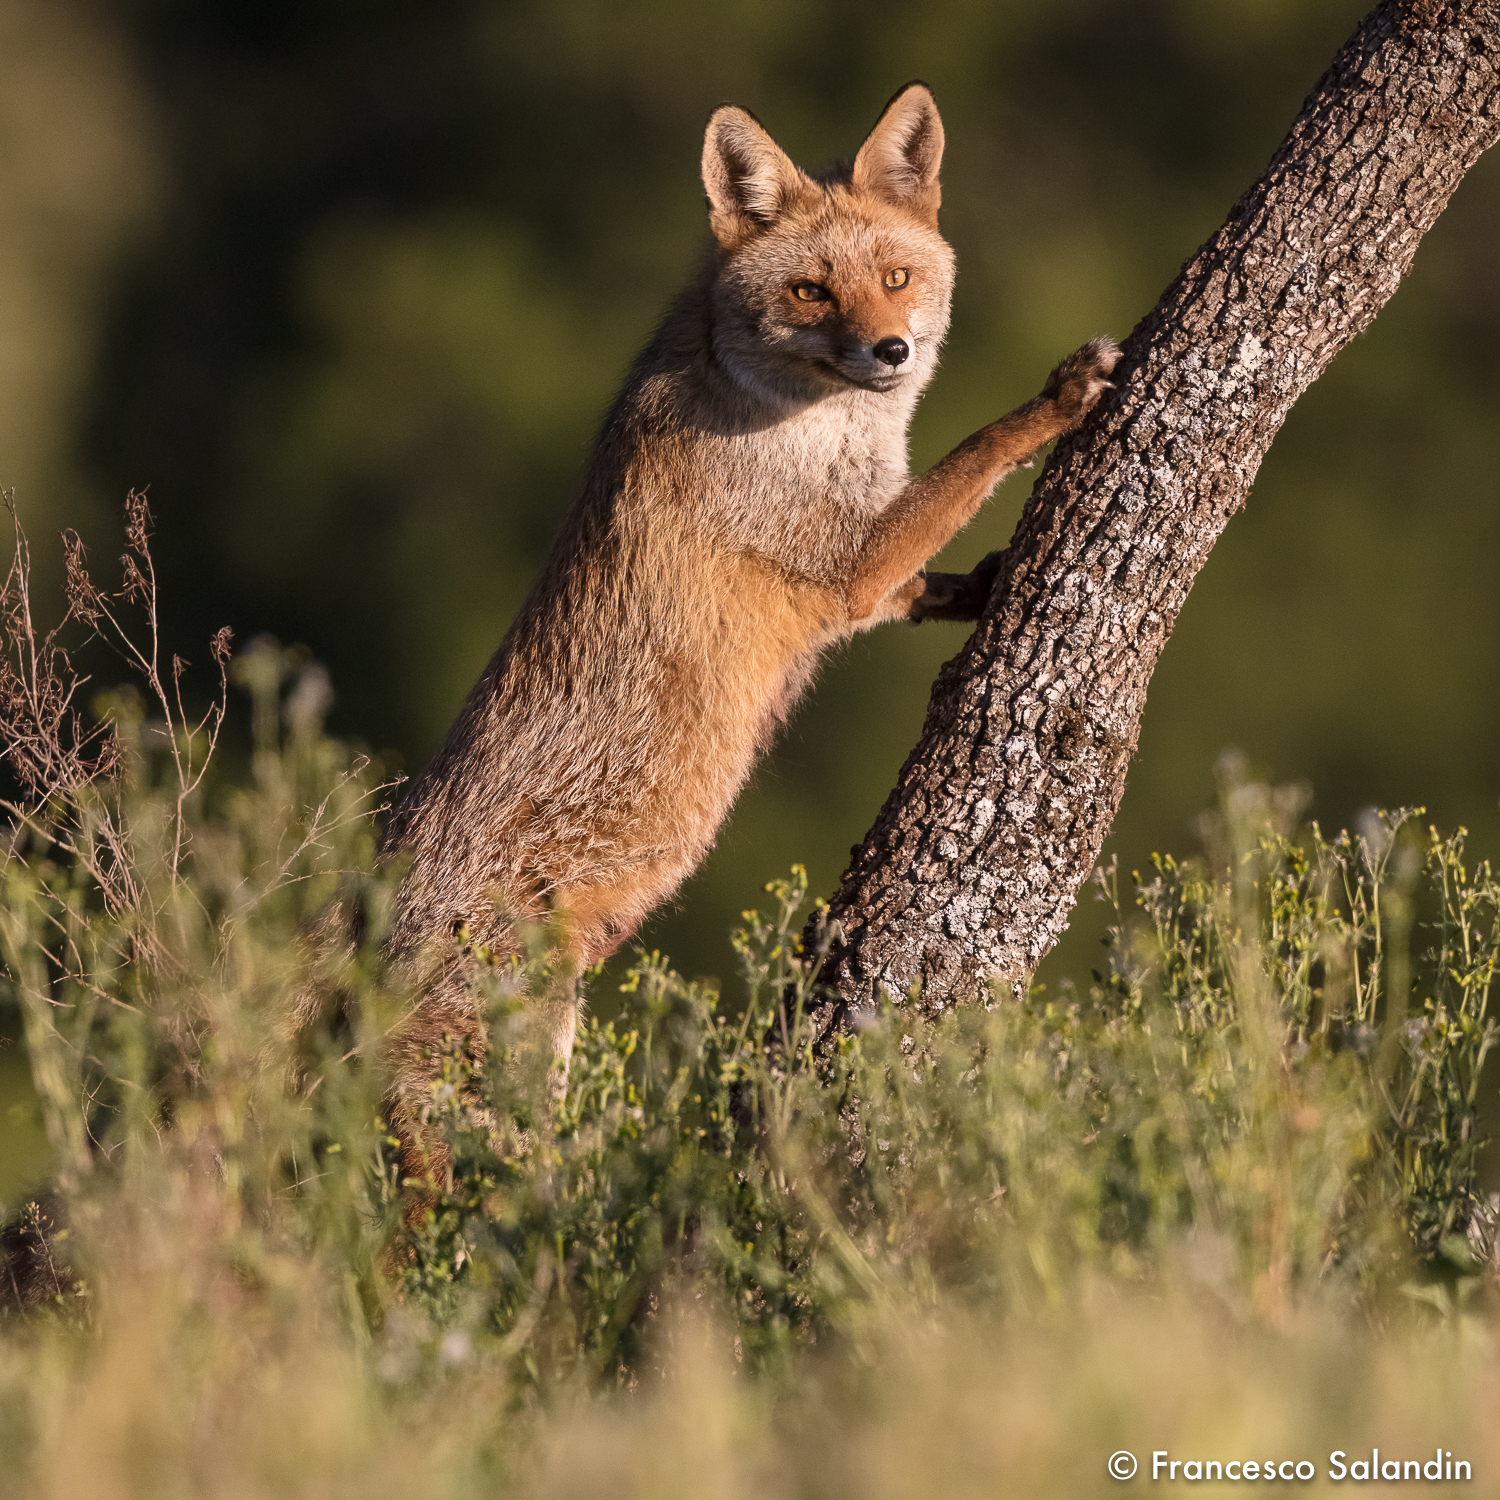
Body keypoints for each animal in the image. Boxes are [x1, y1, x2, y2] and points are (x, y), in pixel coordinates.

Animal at [378, 82, 1118, 1160]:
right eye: (811, 292)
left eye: (896, 277)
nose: (891, 350)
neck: (818, 434)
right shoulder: (847, 561)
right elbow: (973, 456)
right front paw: (1055, 400)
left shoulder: (861, 570)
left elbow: (923, 580)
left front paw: (983, 584)